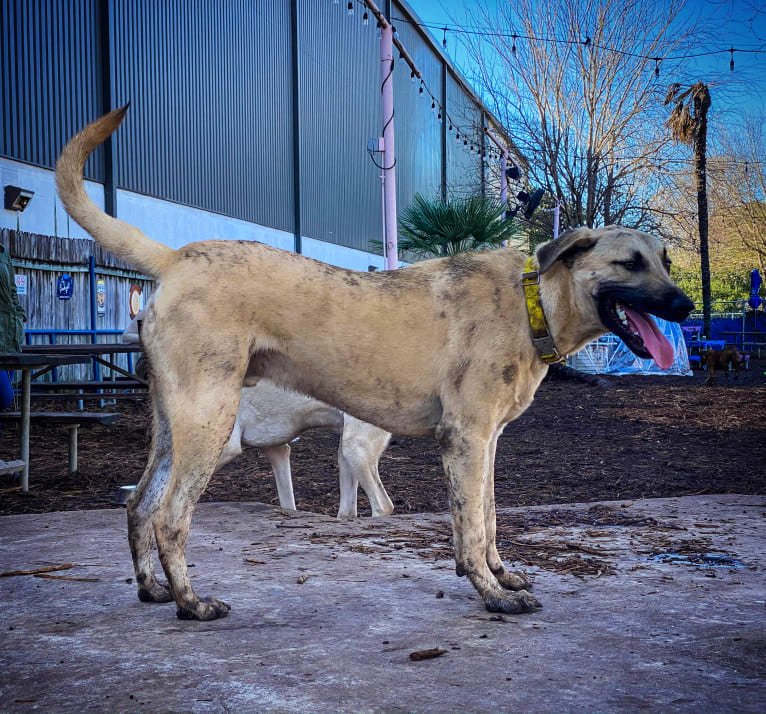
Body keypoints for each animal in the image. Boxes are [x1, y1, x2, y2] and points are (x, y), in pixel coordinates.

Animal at [57, 105, 700, 616]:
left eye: (666, 261)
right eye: (629, 263)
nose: (687, 304)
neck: (529, 300)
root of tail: (175, 257)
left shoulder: (488, 441)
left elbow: (489, 514)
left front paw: (501, 573)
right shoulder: (465, 438)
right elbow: (470, 525)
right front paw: (491, 592)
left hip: (176, 423)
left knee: (139, 504)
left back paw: (153, 589)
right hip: (210, 420)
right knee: (170, 516)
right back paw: (191, 603)